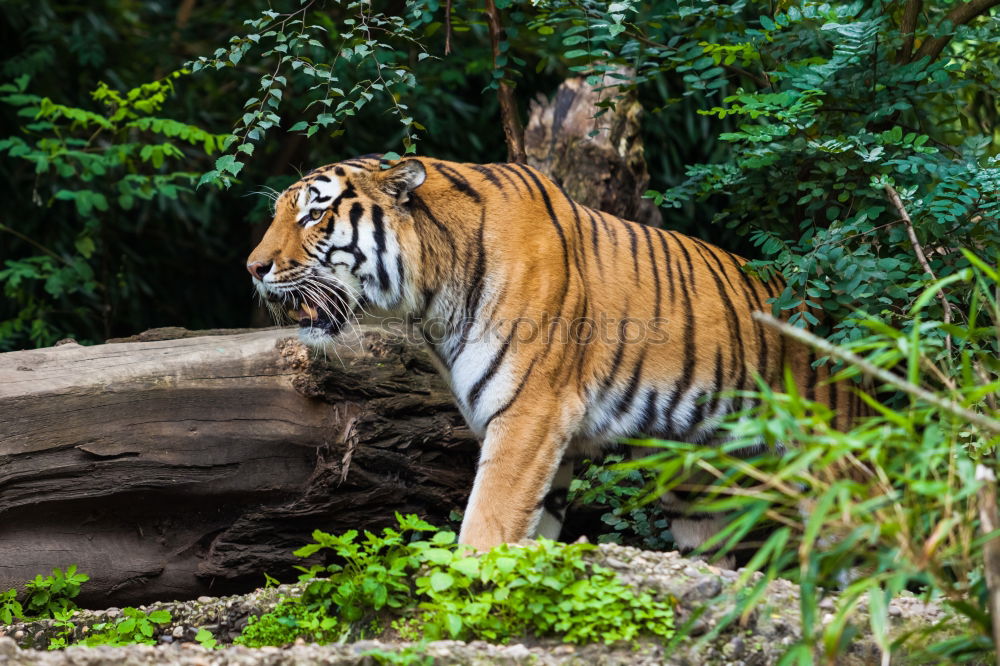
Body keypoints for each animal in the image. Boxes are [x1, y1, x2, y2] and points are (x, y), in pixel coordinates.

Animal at [246, 153, 864, 556]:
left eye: (314, 214)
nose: (253, 268)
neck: (429, 298)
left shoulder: (530, 413)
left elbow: (487, 523)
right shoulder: (543, 438)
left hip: (834, 467)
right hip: (697, 491)